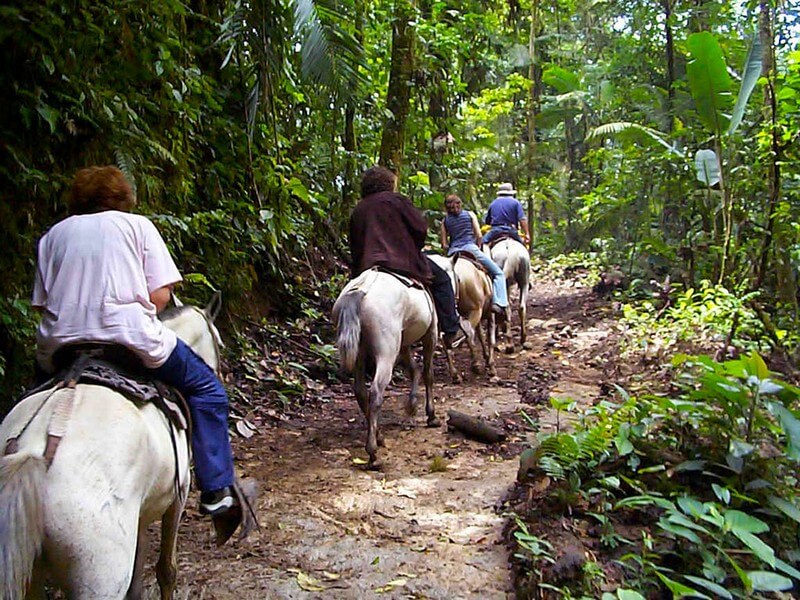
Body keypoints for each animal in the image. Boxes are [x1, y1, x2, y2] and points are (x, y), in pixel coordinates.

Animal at [1, 294, 225, 600]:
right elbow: (166, 571)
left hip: (30, 573)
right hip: (100, 575)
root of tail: (35, 451)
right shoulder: (177, 496)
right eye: (219, 344)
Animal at [334, 268, 440, 468]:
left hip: (361, 352)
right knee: (376, 392)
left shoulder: (403, 343)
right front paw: (431, 415)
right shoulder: (431, 334)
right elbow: (428, 374)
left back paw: (379, 437)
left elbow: (413, 370)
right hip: (386, 352)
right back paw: (373, 452)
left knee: (360, 391)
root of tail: (361, 289)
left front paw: (412, 405)